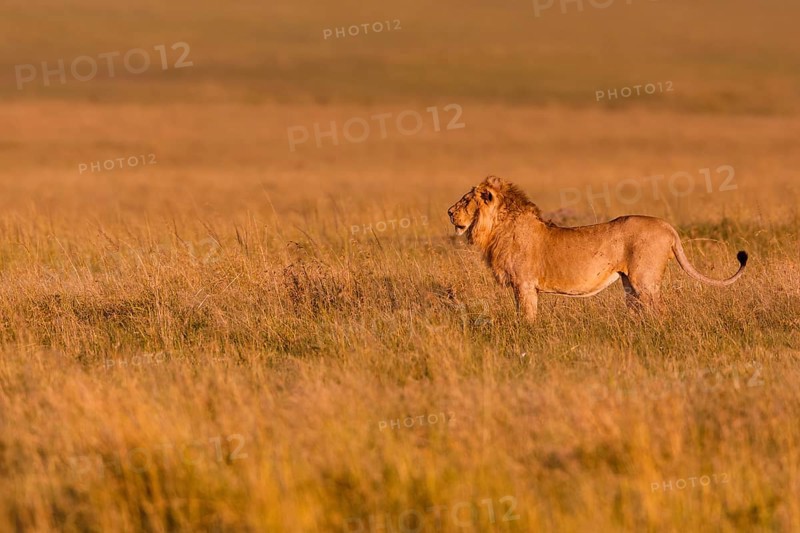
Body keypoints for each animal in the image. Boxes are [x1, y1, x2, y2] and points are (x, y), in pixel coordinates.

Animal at [447, 176, 748, 322]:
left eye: (465, 200)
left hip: (645, 280)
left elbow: (526, 316)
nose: (449, 212)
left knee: (660, 311)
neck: (495, 228)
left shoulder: (524, 284)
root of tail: (668, 227)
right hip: (629, 284)